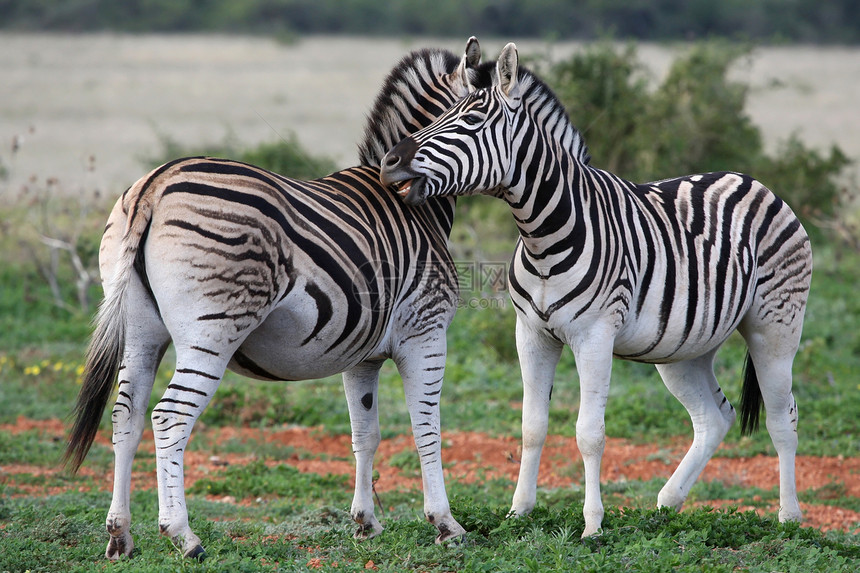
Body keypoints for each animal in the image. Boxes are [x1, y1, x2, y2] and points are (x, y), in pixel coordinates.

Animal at [62, 36, 490, 560]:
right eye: (471, 116)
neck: (412, 205)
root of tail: (154, 186)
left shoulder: (362, 354)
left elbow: (365, 433)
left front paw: (366, 523)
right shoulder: (425, 332)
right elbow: (426, 428)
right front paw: (446, 524)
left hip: (141, 331)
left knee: (128, 415)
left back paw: (120, 535)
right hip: (213, 330)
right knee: (169, 418)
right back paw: (183, 535)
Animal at [382, 43, 812, 536]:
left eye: (470, 120)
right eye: (442, 112)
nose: (390, 162)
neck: (542, 234)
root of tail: (751, 180)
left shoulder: (595, 336)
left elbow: (590, 434)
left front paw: (592, 525)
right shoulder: (530, 334)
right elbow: (532, 426)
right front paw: (518, 512)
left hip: (775, 327)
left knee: (783, 418)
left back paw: (789, 518)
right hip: (683, 347)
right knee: (714, 416)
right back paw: (666, 503)